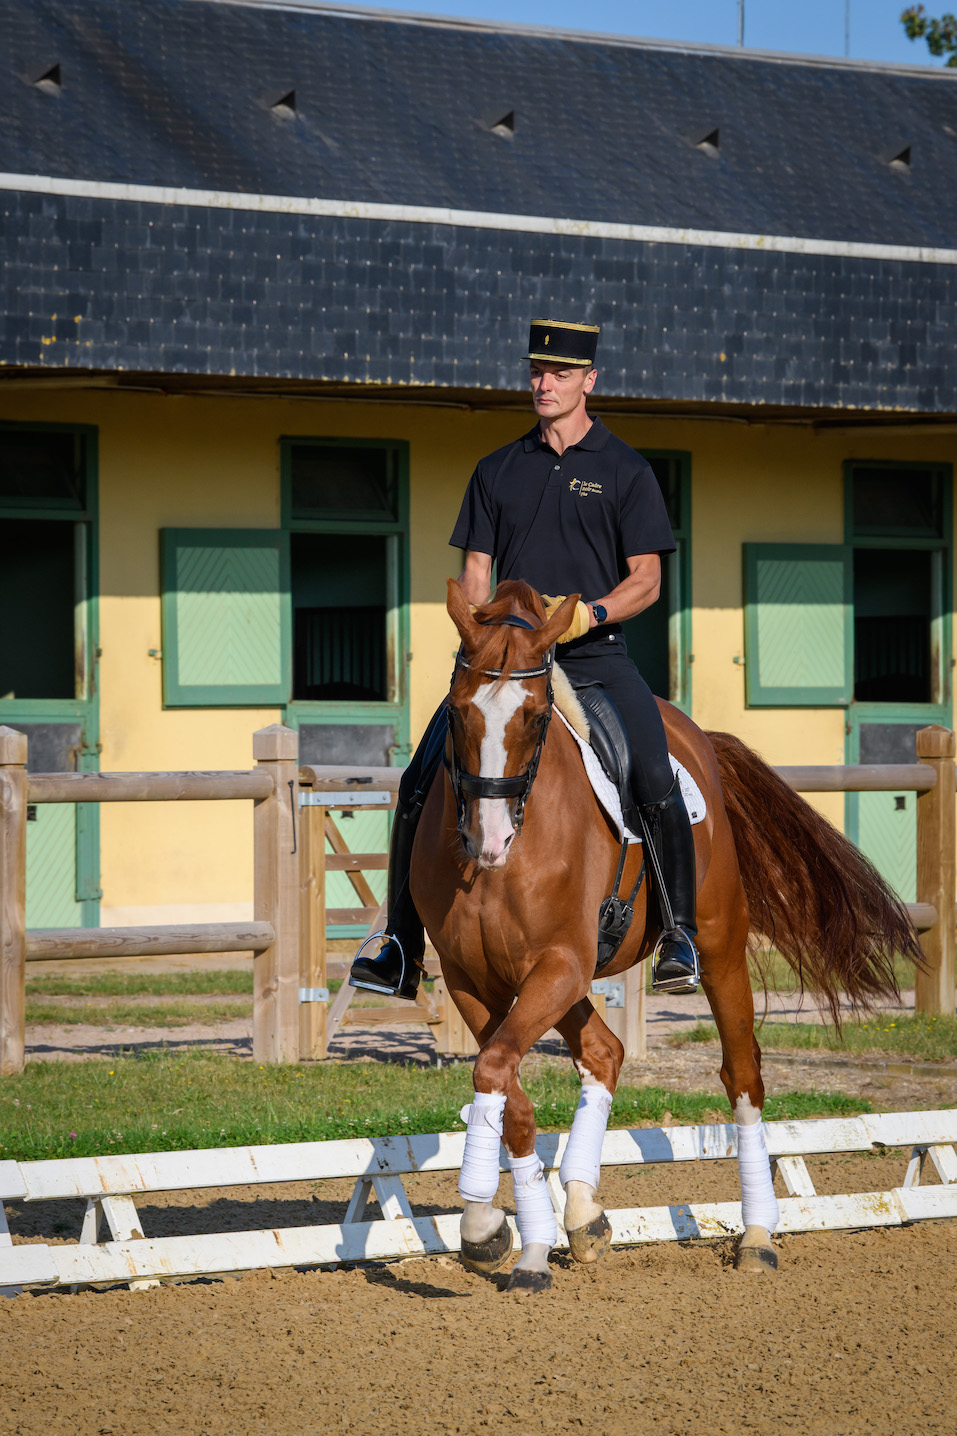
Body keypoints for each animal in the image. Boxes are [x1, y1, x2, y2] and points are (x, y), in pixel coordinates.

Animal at [413, 580, 919, 1292]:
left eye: (536, 717)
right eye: (459, 714)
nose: (489, 843)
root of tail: (693, 732)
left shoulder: (559, 963)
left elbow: (494, 1070)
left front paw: (495, 1226)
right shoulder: (472, 979)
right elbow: (505, 1085)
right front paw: (502, 1234)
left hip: (716, 944)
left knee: (742, 1074)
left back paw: (758, 1237)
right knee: (603, 1053)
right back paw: (583, 1213)